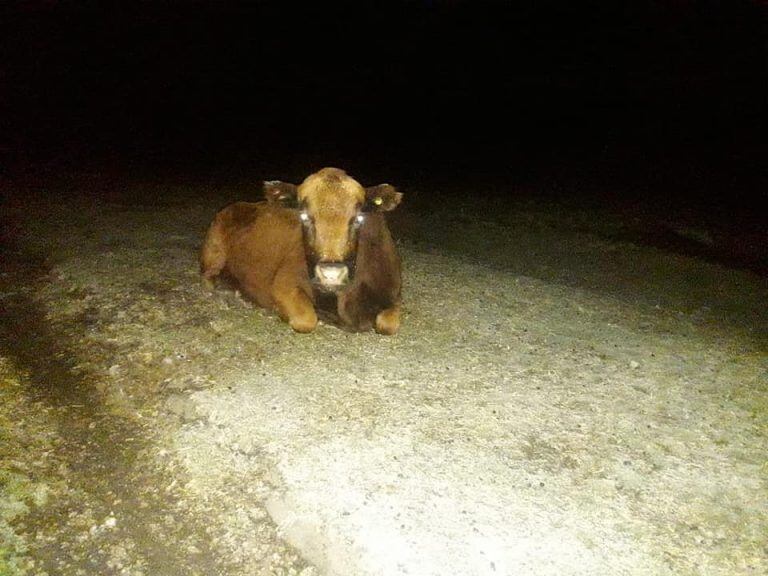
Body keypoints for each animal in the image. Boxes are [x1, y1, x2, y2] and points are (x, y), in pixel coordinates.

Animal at [201, 168, 404, 332]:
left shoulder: (393, 292)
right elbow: (307, 320)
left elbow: (388, 324)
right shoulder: (284, 283)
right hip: (212, 255)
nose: (331, 274)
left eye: (358, 218)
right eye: (305, 216)